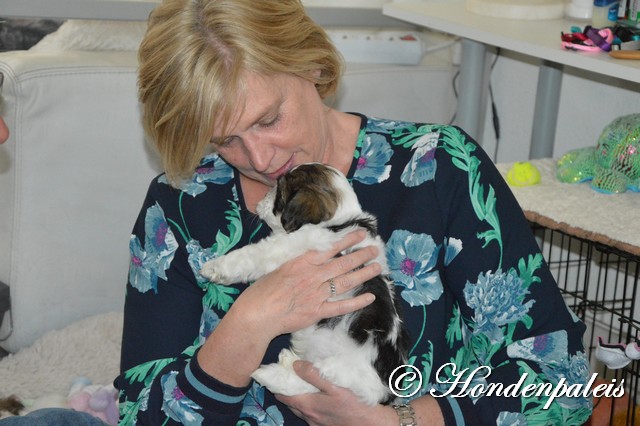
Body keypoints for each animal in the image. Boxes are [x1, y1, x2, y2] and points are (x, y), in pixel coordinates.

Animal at [200, 163, 410, 406]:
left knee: (311, 380)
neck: (337, 221)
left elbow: (249, 256)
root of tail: (386, 393)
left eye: (279, 192)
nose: (263, 196)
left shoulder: (284, 248)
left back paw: (270, 374)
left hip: (344, 371)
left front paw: (214, 268)